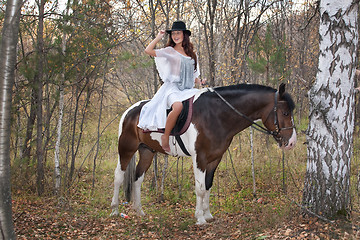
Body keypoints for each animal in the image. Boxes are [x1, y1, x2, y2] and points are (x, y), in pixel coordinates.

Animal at [109, 83, 296, 225]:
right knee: (119, 176)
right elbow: (199, 189)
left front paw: (207, 214)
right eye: (285, 113)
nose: (292, 142)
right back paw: (115, 210)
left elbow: (208, 186)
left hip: (147, 151)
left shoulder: (214, 159)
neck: (216, 115)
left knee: (137, 178)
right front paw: (199, 218)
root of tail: (130, 111)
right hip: (126, 148)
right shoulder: (200, 158)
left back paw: (139, 210)